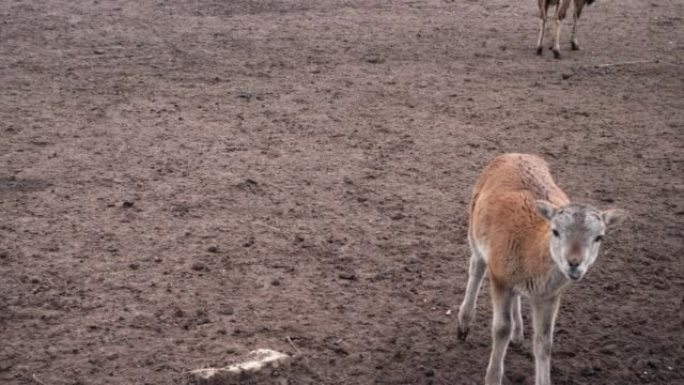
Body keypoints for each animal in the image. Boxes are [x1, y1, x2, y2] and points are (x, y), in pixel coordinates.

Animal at [456, 154, 628, 384]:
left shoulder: (550, 295)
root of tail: (514, 153)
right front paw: (492, 377)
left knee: (516, 295)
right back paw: (464, 324)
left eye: (599, 237)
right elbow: (501, 329)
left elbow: (544, 342)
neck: (531, 249)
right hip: (474, 229)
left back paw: (518, 333)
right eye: (555, 231)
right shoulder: (500, 277)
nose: (574, 263)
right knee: (476, 269)